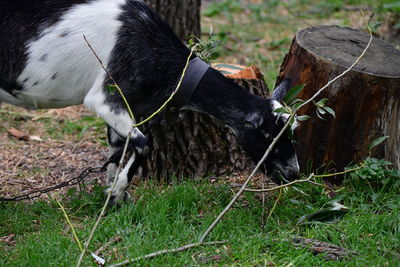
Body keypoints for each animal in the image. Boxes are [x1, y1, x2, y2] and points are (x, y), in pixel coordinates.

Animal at [0, 0, 300, 203]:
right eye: (271, 135)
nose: (294, 173)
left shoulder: (127, 107)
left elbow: (118, 152)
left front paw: (114, 197)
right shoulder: (106, 96)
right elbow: (143, 144)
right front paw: (118, 191)